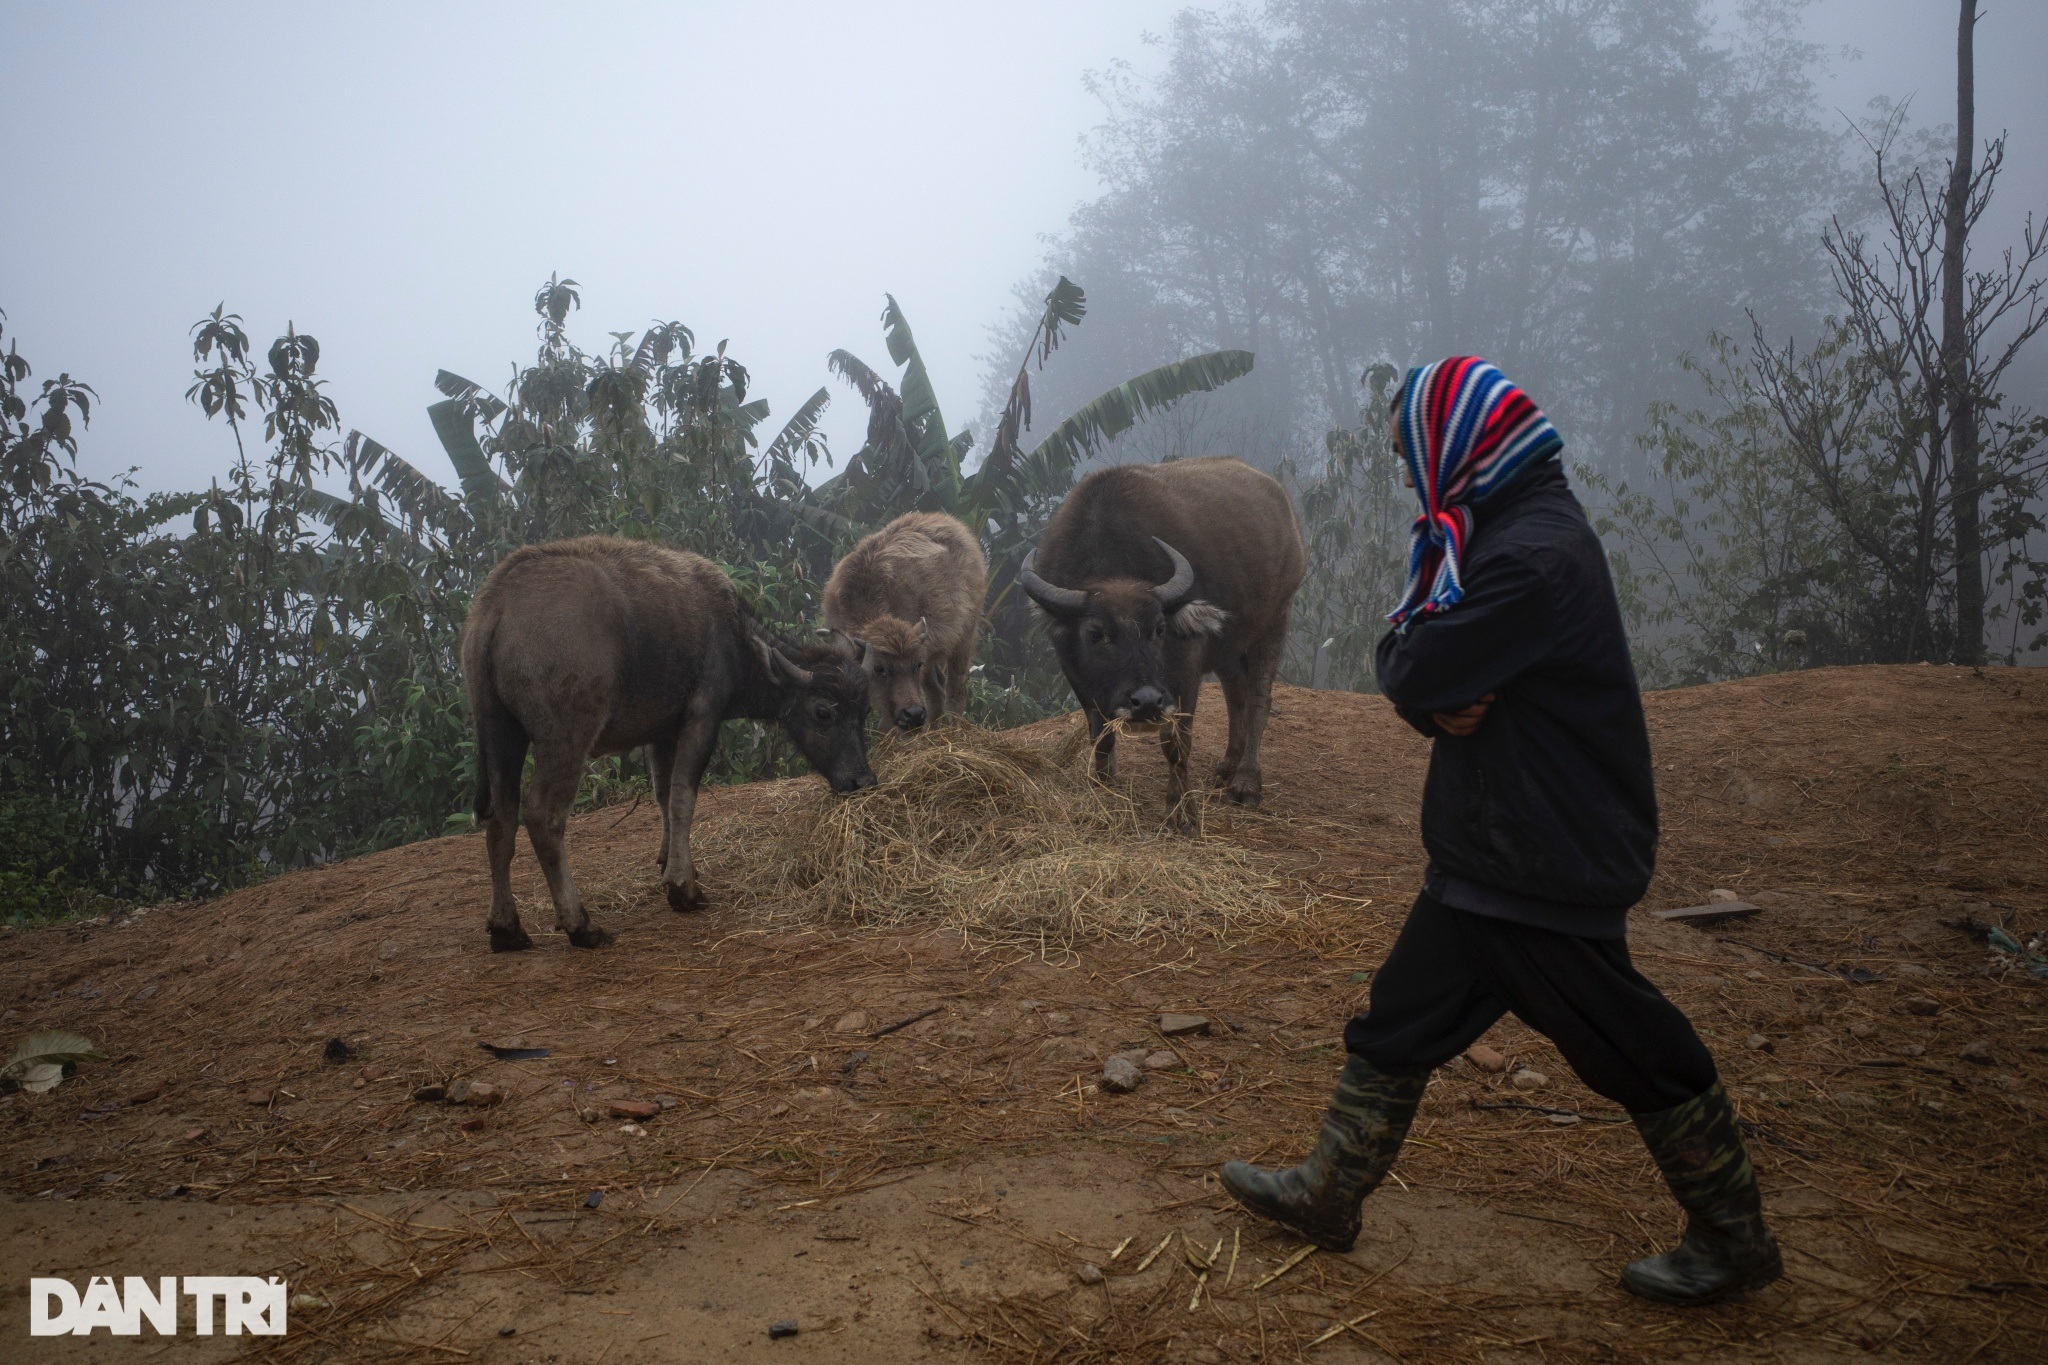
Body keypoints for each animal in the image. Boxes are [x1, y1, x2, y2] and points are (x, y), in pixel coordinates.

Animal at [460, 532, 876, 949]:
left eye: (864, 712)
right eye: (823, 712)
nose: (862, 780)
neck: (733, 636)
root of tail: (497, 604)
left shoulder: (660, 733)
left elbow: (661, 795)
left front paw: (666, 862)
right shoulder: (702, 718)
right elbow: (682, 796)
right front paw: (683, 887)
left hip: (500, 734)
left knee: (501, 820)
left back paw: (507, 929)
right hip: (564, 741)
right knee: (542, 817)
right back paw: (580, 924)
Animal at [819, 507, 987, 732]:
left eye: (916, 665)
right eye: (879, 668)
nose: (914, 714)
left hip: (966, 635)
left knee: (956, 687)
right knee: (937, 690)